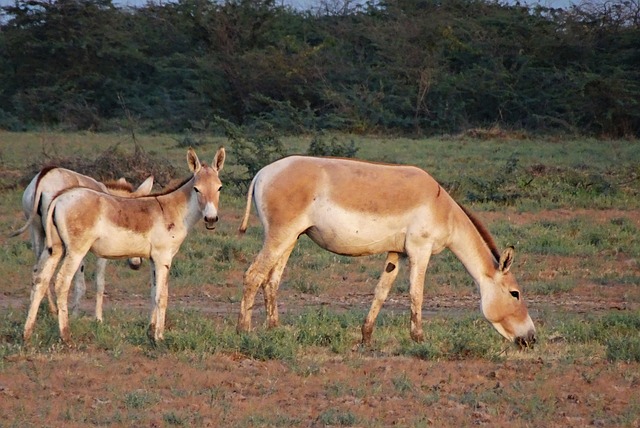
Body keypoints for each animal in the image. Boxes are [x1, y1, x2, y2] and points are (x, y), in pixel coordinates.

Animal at [23, 149, 225, 342]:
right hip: (75, 251)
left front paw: (150, 332)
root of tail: (59, 197)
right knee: (61, 282)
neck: (171, 210)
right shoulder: (163, 257)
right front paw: (159, 338)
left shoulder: (153, 259)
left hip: (54, 247)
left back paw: (27, 334)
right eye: (197, 189)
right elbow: (162, 296)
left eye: (219, 188)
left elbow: (153, 293)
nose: (211, 219)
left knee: (40, 279)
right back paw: (65, 335)